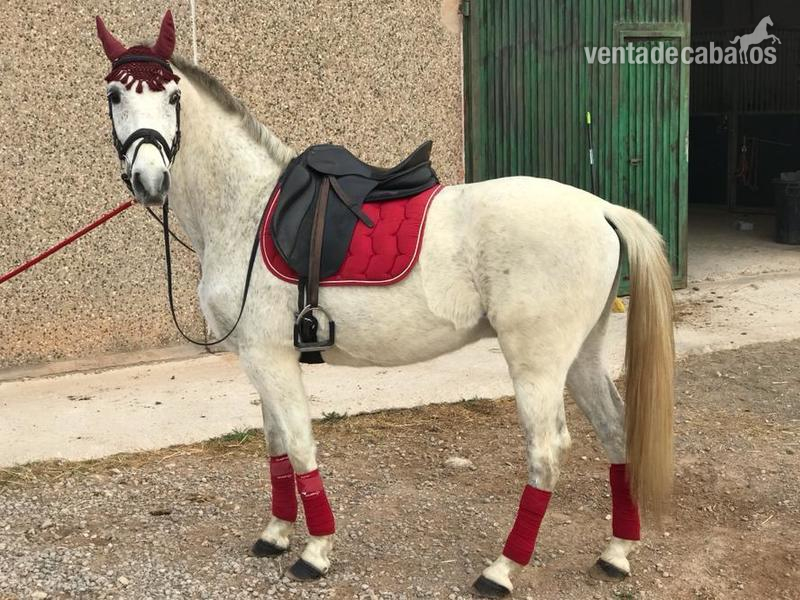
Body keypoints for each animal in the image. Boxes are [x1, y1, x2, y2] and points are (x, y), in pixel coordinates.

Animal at [95, 11, 674, 598]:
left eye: (171, 95)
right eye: (115, 94)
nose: (150, 180)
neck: (249, 210)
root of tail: (602, 208)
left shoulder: (271, 359)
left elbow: (299, 447)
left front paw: (315, 552)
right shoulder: (259, 360)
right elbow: (276, 446)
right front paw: (277, 534)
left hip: (537, 363)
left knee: (547, 451)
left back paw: (502, 568)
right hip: (581, 356)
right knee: (614, 431)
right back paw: (616, 552)